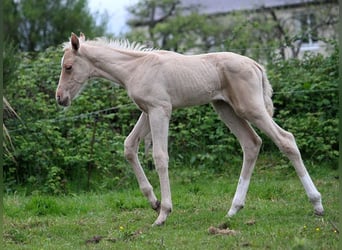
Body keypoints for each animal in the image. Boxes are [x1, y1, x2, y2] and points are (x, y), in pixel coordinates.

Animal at [55, 32, 324, 226]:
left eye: (68, 67)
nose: (60, 98)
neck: (136, 67)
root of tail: (256, 65)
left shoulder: (161, 110)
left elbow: (160, 157)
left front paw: (163, 213)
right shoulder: (147, 111)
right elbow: (129, 147)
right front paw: (153, 201)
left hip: (251, 108)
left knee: (285, 140)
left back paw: (317, 204)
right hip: (225, 108)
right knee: (251, 144)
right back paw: (233, 210)